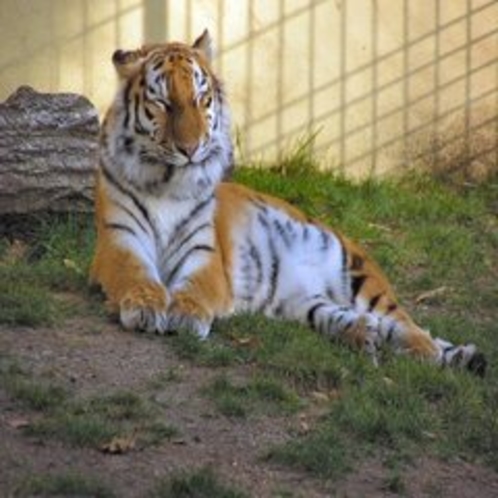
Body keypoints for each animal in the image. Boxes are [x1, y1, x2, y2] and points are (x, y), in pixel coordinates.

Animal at [89, 29, 486, 376]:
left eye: (202, 100)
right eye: (163, 102)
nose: (191, 148)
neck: (168, 181)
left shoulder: (204, 252)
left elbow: (194, 286)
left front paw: (185, 314)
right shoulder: (119, 241)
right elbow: (136, 274)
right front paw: (145, 305)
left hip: (356, 270)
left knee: (406, 323)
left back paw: (424, 350)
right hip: (301, 302)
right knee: (350, 318)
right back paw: (363, 334)